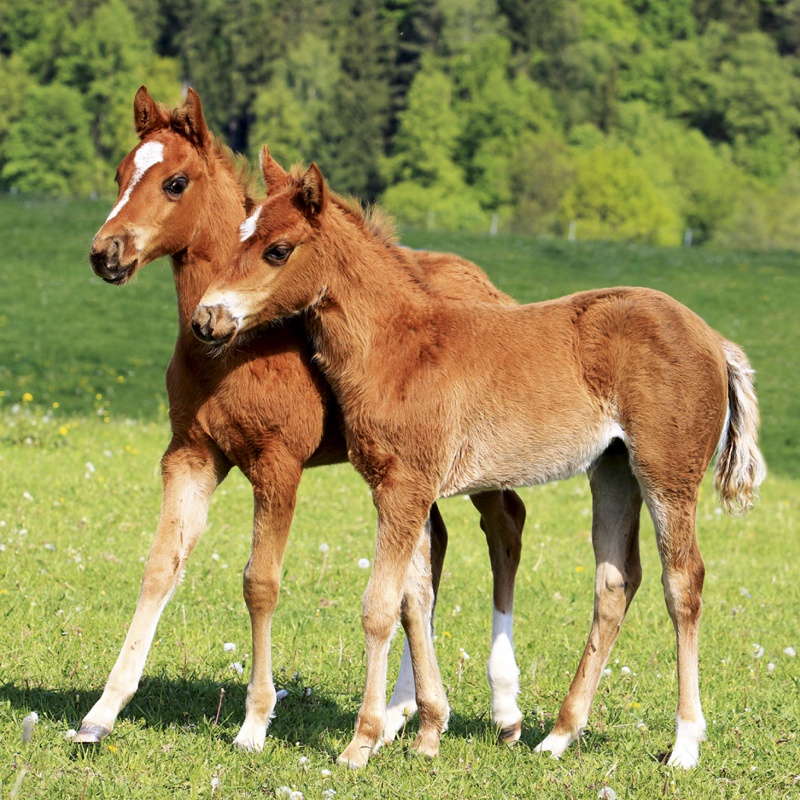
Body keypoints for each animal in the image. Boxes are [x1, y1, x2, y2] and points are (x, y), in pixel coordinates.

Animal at [76, 90, 524, 752]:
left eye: (175, 182)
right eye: (120, 173)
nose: (107, 253)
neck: (233, 346)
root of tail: (491, 289)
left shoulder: (278, 462)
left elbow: (260, 583)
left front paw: (255, 722)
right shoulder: (191, 454)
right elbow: (160, 568)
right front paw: (102, 711)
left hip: (477, 462)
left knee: (505, 529)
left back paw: (503, 708)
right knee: (428, 558)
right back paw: (401, 712)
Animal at [191, 156, 764, 768]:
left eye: (278, 249)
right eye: (241, 235)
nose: (206, 318)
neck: (397, 347)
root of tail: (714, 339)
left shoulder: (404, 489)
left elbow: (379, 607)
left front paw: (361, 742)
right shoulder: (405, 490)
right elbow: (415, 602)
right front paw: (426, 732)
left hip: (666, 475)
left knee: (682, 583)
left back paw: (684, 743)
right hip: (613, 470)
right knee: (614, 582)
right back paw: (559, 735)